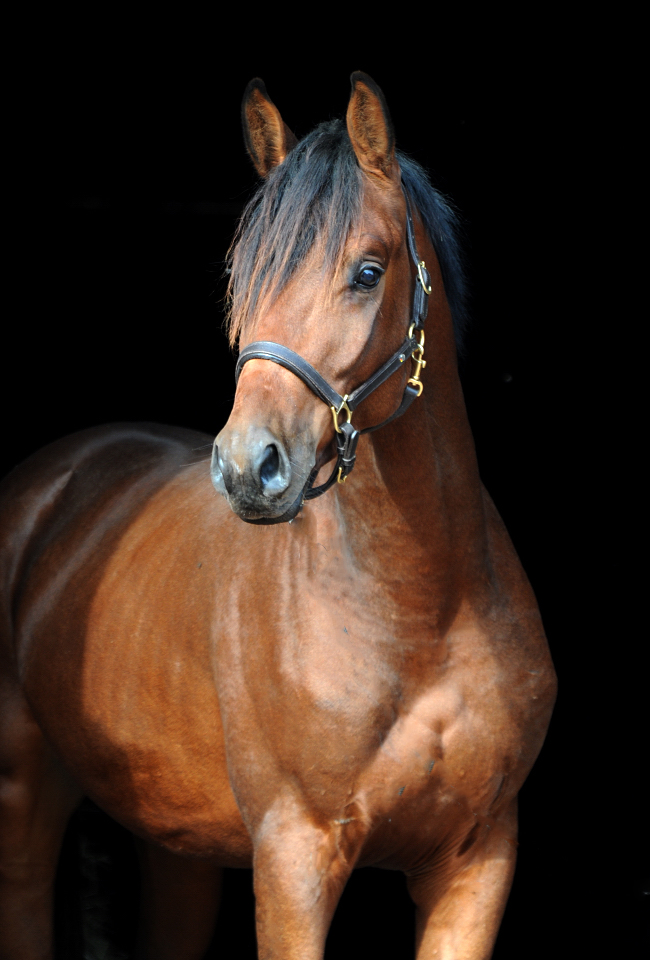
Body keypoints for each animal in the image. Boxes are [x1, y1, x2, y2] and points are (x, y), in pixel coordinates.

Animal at [1, 71, 556, 956]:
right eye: (245, 276)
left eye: (368, 271)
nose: (247, 468)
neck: (421, 612)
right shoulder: (295, 856)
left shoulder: (479, 860)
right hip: (26, 788)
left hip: (178, 844)